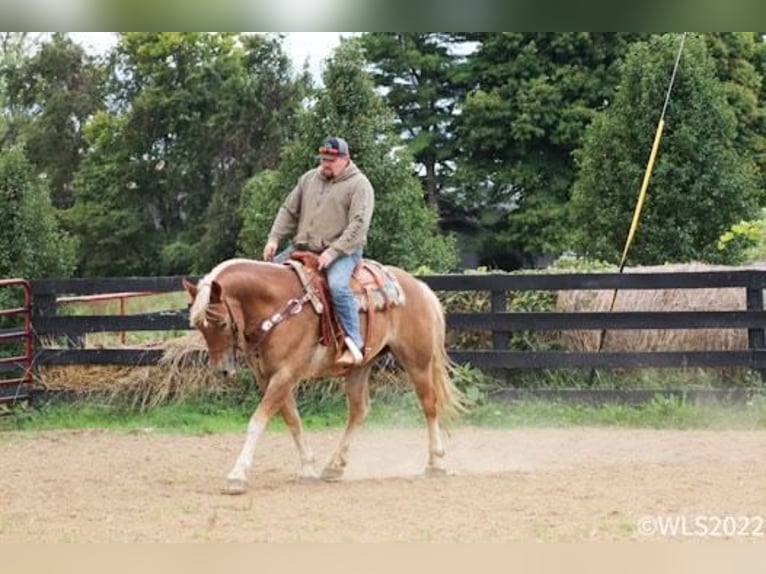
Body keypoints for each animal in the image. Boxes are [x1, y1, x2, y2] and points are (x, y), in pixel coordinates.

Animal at [183, 256, 464, 496]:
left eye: (221, 323)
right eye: (198, 326)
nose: (221, 370)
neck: (277, 306)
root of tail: (418, 286)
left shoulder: (285, 375)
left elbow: (257, 421)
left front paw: (237, 475)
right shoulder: (270, 377)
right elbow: (293, 420)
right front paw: (308, 467)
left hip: (417, 361)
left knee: (429, 404)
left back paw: (436, 463)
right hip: (360, 366)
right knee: (359, 410)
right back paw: (334, 466)